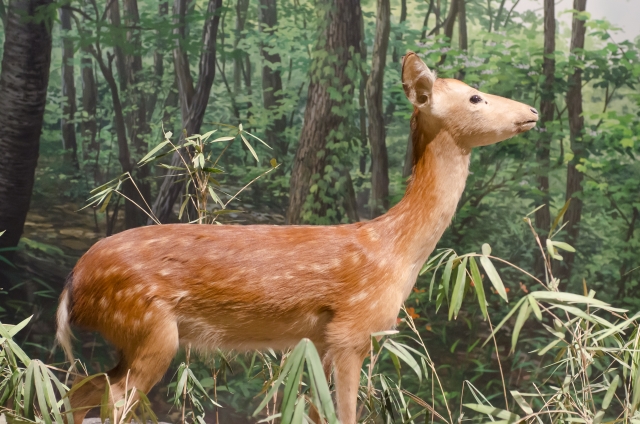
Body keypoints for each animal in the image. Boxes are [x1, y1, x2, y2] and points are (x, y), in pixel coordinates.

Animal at [55, 53, 536, 424]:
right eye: (475, 96)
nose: (531, 111)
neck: (394, 248)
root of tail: (72, 286)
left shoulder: (320, 340)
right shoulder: (351, 329)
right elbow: (345, 414)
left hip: (131, 335)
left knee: (77, 391)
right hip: (149, 328)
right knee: (109, 401)